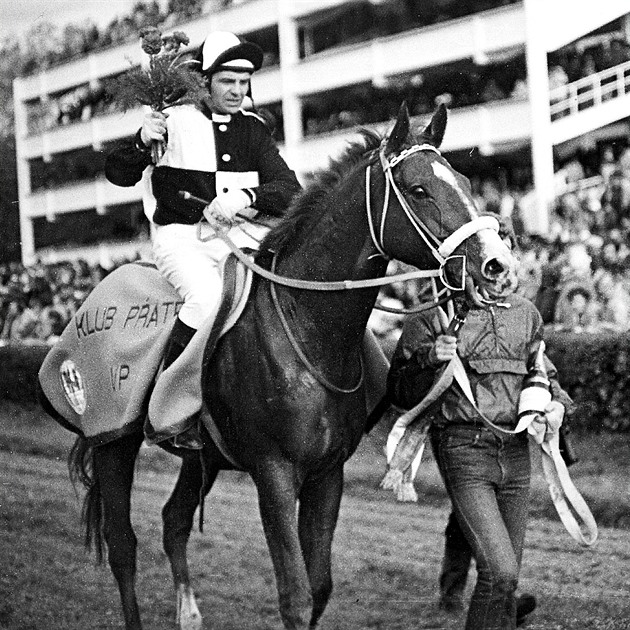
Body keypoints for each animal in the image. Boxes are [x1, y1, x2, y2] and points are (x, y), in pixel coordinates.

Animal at [44, 105, 520, 630]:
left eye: (464, 180)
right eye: (418, 189)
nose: (498, 266)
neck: (305, 327)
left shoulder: (327, 473)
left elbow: (319, 587)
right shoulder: (273, 472)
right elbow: (294, 595)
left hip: (201, 457)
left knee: (173, 522)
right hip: (113, 441)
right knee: (123, 544)